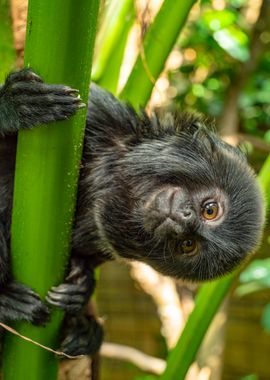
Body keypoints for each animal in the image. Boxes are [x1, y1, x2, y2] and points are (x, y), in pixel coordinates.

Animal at [0, 69, 264, 356]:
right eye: (211, 210)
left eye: (188, 245)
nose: (184, 221)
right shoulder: (99, 112)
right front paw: (14, 105)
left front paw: (82, 287)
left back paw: (83, 332)